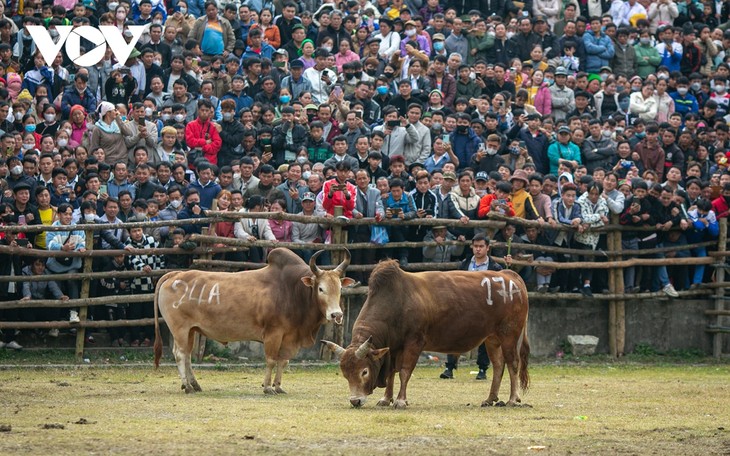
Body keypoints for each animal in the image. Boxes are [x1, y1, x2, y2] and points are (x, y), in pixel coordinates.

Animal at [154, 248, 352, 394]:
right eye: (320, 288)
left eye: (340, 288)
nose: (336, 314)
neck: (292, 290)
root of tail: (174, 275)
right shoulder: (273, 333)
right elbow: (271, 360)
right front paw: (267, 388)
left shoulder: (289, 337)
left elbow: (283, 361)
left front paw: (278, 387)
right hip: (179, 329)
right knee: (180, 354)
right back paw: (187, 386)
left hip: (191, 330)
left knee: (187, 356)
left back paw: (194, 384)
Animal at [324, 260, 528, 410]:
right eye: (345, 373)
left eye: (364, 371)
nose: (355, 401)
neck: (395, 302)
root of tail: (509, 275)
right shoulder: (393, 347)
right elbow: (391, 373)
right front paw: (386, 399)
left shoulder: (414, 342)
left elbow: (404, 371)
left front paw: (400, 400)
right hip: (492, 338)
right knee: (499, 365)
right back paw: (490, 398)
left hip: (509, 335)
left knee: (513, 364)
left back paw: (512, 399)